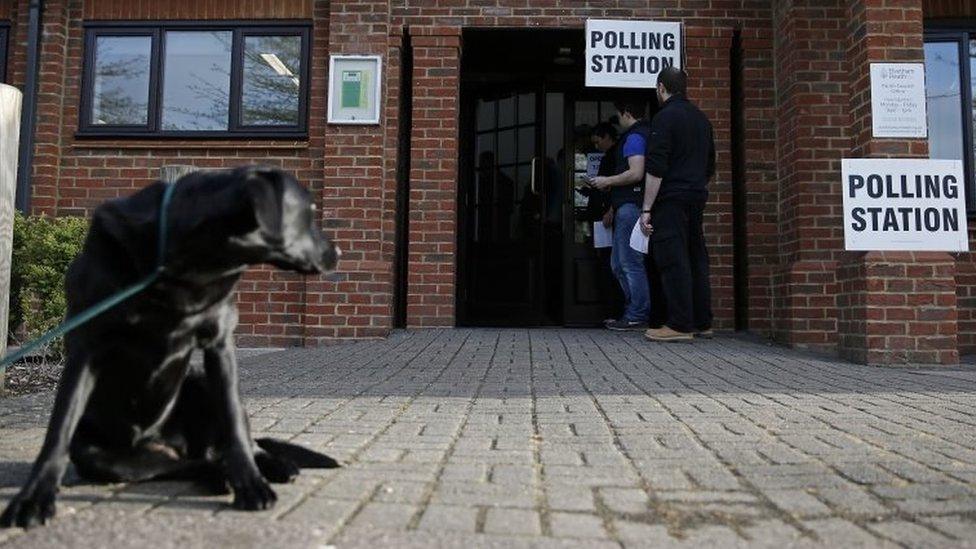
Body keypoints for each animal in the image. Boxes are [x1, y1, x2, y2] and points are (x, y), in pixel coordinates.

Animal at [0, 164, 342, 528]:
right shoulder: (86, 346)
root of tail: (177, 444)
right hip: (110, 457)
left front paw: (251, 485)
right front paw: (33, 498)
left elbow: (235, 423)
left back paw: (272, 466)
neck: (182, 269)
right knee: (193, 464)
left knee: (242, 443)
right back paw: (219, 475)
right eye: (310, 212)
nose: (338, 253)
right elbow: (58, 429)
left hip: (200, 381)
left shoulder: (220, 344)